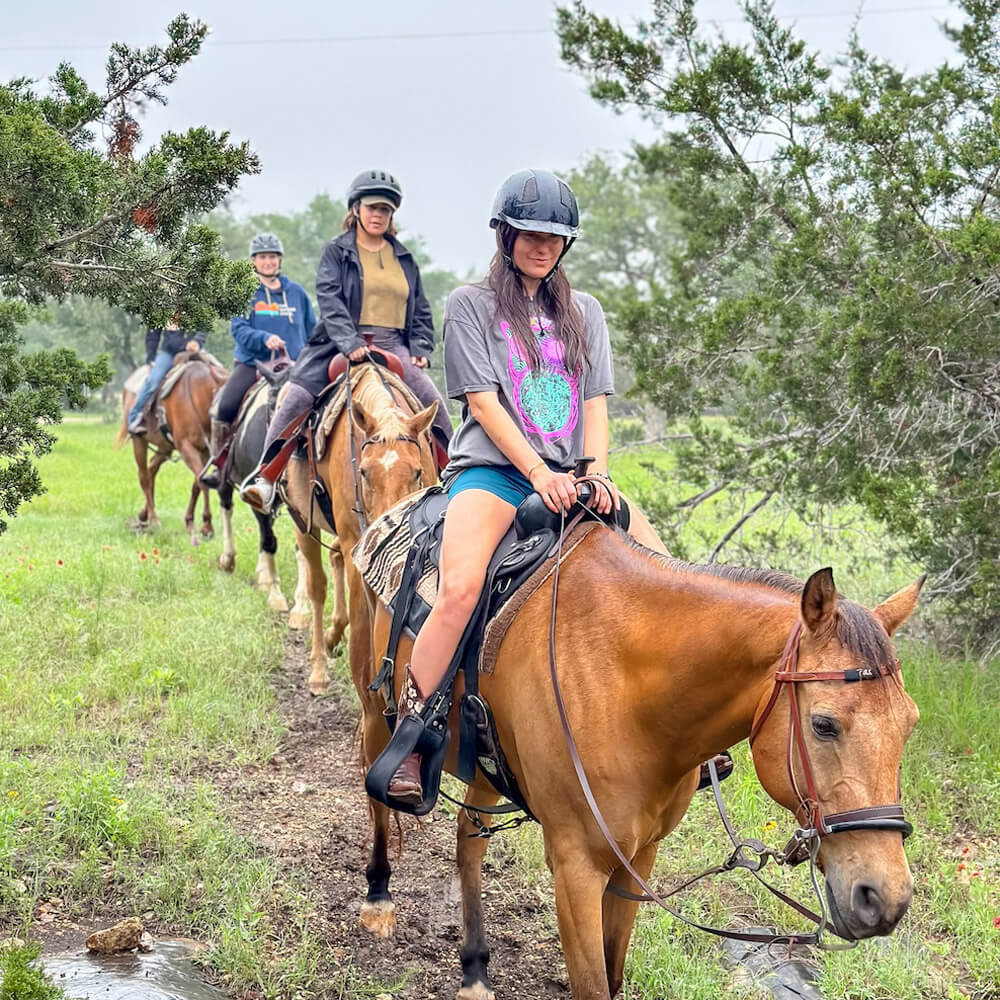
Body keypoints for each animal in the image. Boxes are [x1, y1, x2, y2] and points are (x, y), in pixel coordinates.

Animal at [114, 350, 228, 540]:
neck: (197, 397)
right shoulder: (186, 447)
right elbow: (201, 481)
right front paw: (207, 526)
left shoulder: (205, 452)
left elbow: (197, 484)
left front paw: (190, 522)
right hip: (139, 442)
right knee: (144, 476)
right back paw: (153, 519)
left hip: (165, 447)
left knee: (151, 469)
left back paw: (144, 513)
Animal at [366, 532, 920, 1000]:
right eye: (824, 724)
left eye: (910, 723)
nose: (885, 899)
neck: (629, 691)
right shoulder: (575, 868)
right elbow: (592, 986)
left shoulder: (639, 857)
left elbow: (613, 973)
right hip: (378, 716)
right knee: (378, 799)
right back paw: (378, 899)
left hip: (484, 764)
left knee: (469, 836)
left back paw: (475, 970)